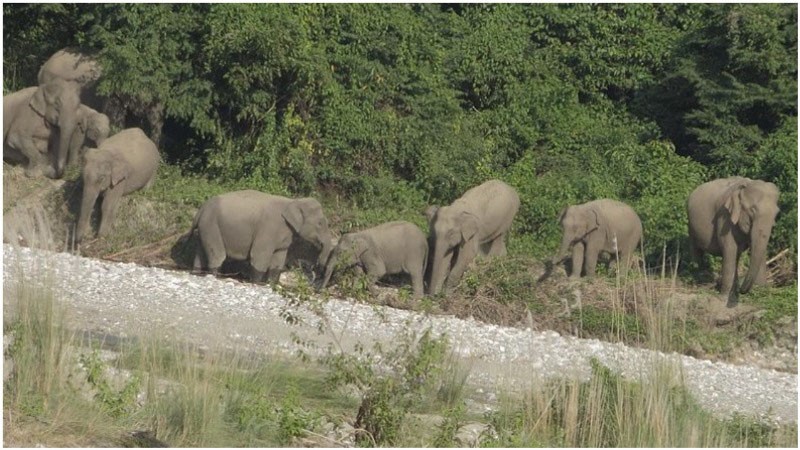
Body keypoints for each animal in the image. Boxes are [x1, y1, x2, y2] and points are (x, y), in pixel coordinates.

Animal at [189, 191, 332, 284]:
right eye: (320, 223)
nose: (315, 267)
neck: (293, 201)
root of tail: (201, 209)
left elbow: (278, 258)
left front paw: (271, 284)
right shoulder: (268, 228)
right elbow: (259, 256)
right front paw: (257, 283)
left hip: (205, 228)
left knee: (200, 253)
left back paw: (197, 273)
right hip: (211, 225)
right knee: (217, 255)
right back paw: (214, 276)